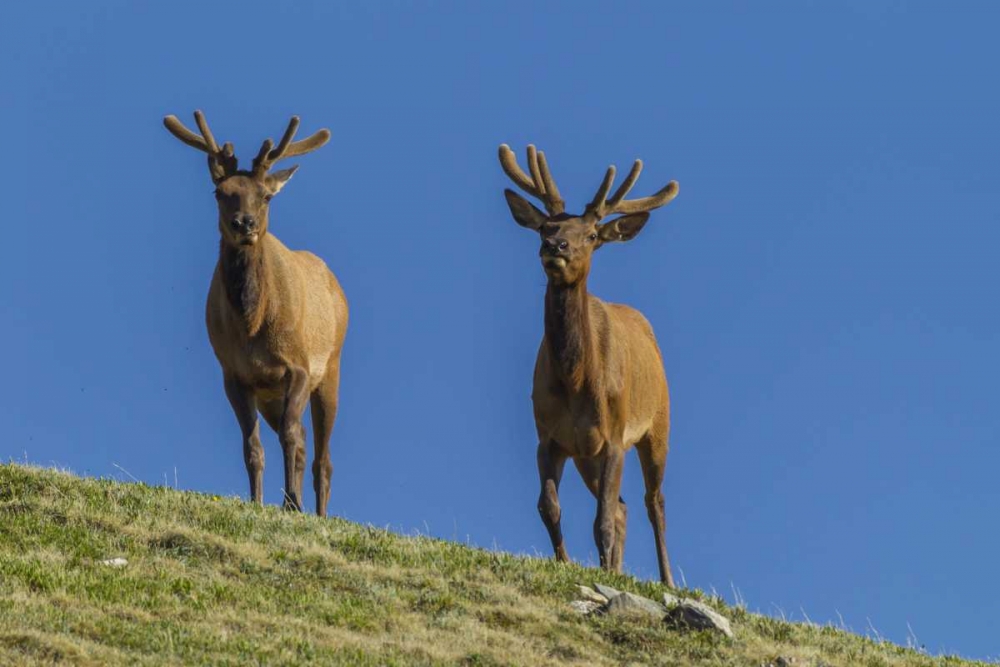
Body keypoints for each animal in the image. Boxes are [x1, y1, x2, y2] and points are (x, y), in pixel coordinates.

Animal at [164, 111, 348, 516]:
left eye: (264, 196)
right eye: (220, 192)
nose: (244, 223)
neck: (252, 326)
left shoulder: (298, 366)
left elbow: (291, 437)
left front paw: (290, 501)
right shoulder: (235, 375)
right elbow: (253, 447)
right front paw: (259, 500)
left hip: (330, 368)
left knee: (322, 457)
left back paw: (317, 512)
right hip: (270, 396)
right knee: (304, 442)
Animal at [500, 145, 680, 584]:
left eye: (593, 235)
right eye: (545, 227)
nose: (557, 246)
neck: (577, 382)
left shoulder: (614, 435)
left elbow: (600, 521)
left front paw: (600, 570)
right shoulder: (549, 436)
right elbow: (548, 507)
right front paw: (565, 563)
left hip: (658, 424)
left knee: (654, 501)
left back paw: (666, 578)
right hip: (587, 455)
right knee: (623, 508)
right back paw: (615, 567)